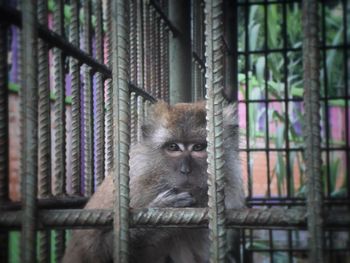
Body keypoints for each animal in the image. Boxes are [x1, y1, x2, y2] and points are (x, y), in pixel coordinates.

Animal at [62, 101, 243, 263]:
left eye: (198, 147)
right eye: (173, 147)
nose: (185, 170)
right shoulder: (134, 184)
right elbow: (96, 249)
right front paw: (162, 211)